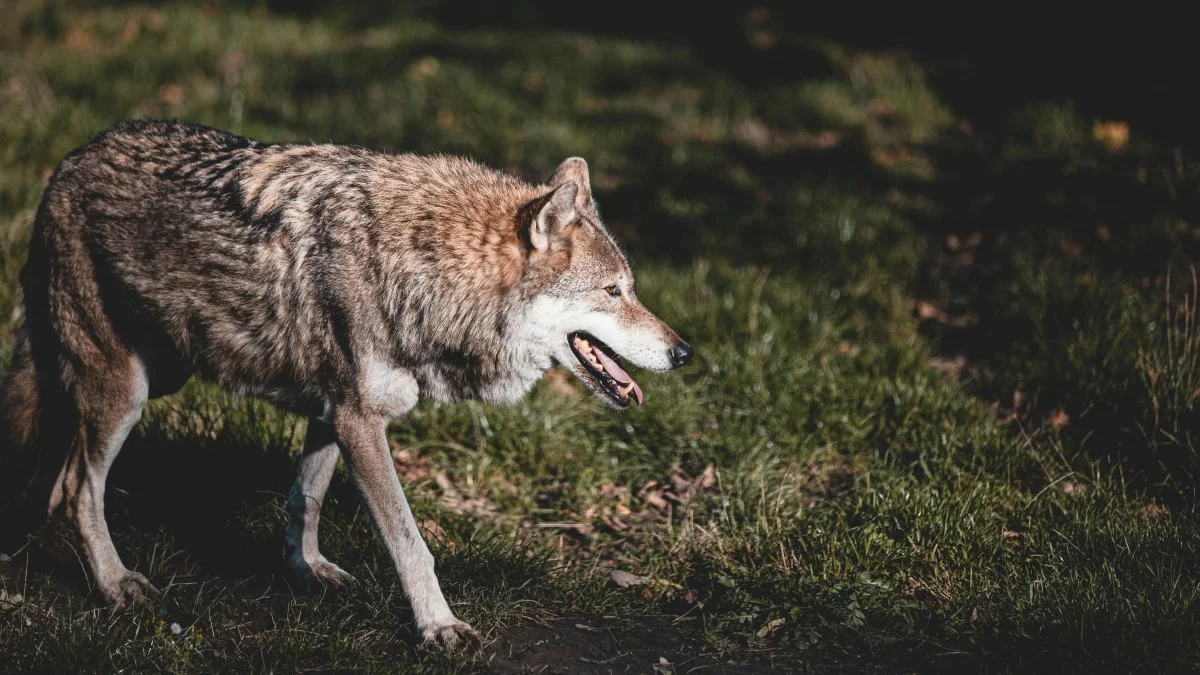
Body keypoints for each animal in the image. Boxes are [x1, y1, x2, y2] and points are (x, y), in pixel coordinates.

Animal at [0, 118, 696, 643]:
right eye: (614, 292)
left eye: (632, 289)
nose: (684, 351)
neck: (424, 273)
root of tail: (67, 162)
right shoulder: (362, 422)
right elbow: (410, 541)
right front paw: (438, 628)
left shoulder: (332, 413)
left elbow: (304, 500)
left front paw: (305, 571)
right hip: (126, 391)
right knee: (80, 487)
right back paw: (114, 584)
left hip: (146, 376)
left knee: (55, 456)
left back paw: (31, 524)